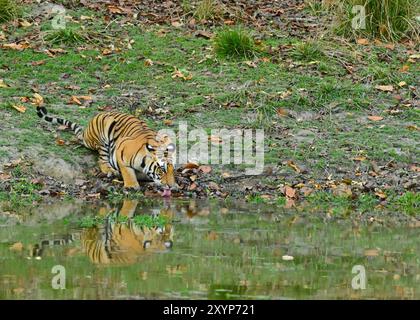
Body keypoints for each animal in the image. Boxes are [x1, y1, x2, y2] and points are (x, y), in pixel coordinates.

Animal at [34, 106, 176, 194]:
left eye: (172, 169)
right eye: (162, 169)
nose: (170, 186)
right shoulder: (121, 152)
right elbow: (127, 172)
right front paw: (131, 185)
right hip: (103, 134)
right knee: (101, 160)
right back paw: (110, 171)